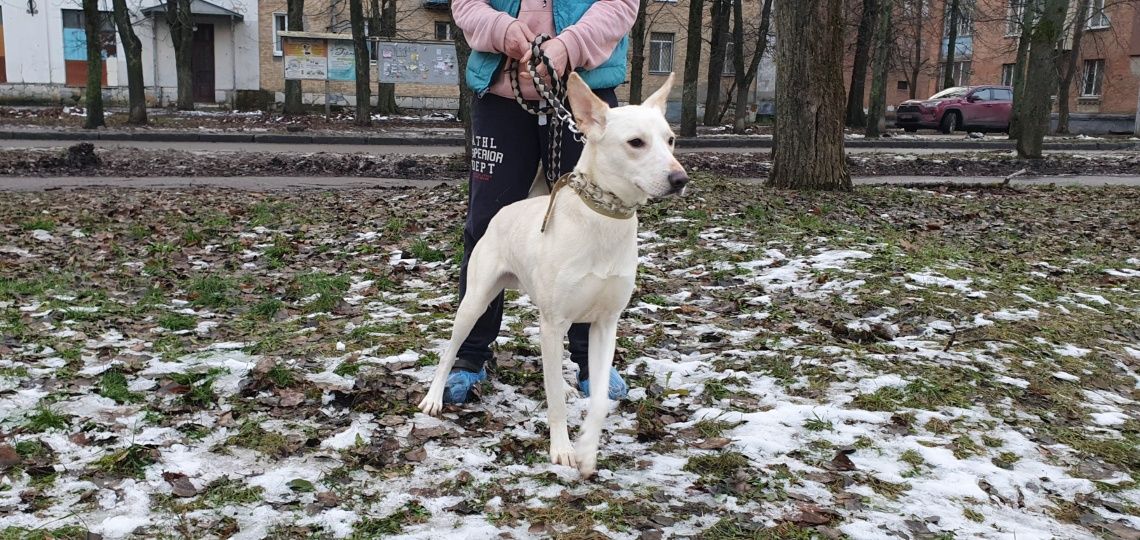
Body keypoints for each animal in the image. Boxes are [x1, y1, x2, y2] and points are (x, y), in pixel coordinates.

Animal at [419, 71, 684, 476]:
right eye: (635, 143)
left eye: (670, 140)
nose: (680, 179)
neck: (605, 219)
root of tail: (510, 208)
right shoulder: (553, 322)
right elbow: (555, 397)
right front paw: (562, 449)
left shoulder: (606, 323)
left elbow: (600, 397)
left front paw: (588, 449)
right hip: (476, 301)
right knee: (450, 351)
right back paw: (435, 396)